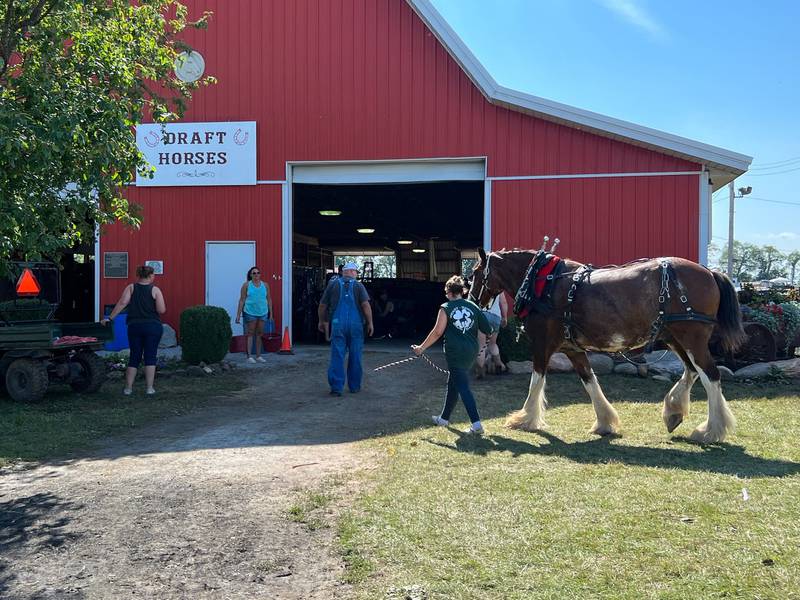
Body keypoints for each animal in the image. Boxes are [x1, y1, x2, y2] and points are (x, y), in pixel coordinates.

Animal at [472, 246, 748, 442]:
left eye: (474, 273)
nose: (473, 300)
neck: (544, 283)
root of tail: (709, 272)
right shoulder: (573, 349)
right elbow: (590, 381)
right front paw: (605, 422)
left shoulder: (542, 344)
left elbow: (536, 381)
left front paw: (524, 418)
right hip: (675, 337)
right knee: (692, 371)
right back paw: (674, 412)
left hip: (692, 337)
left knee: (710, 376)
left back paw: (710, 431)